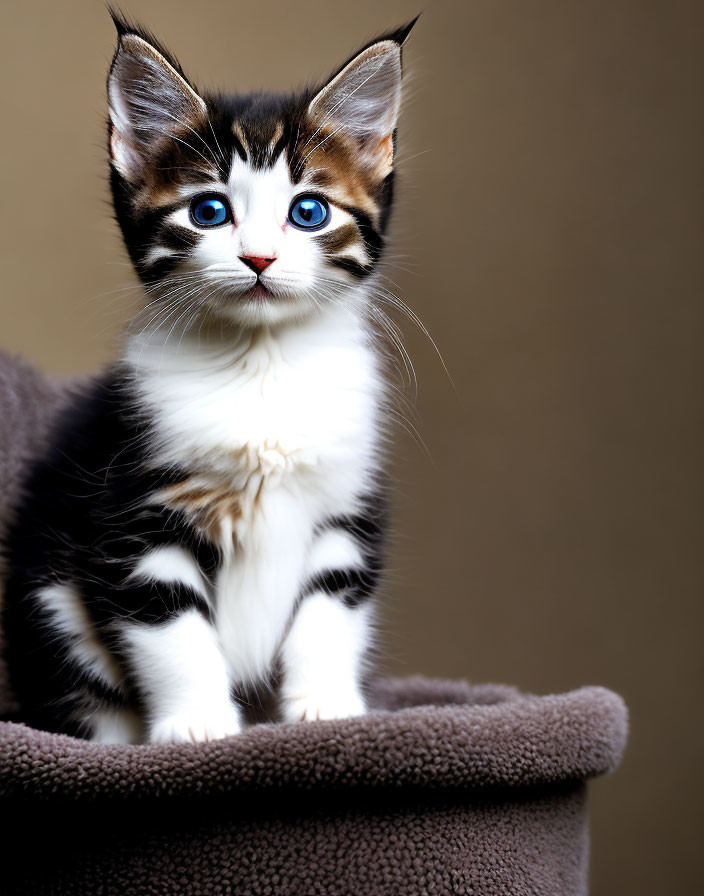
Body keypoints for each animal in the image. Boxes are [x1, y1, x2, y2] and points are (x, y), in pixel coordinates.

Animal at [0, 14, 416, 744]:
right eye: (209, 212)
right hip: (44, 597)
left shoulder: (347, 498)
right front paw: (196, 726)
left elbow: (330, 610)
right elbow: (170, 626)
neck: (261, 365)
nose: (259, 257)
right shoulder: (137, 506)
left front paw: (325, 708)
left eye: (309, 212)